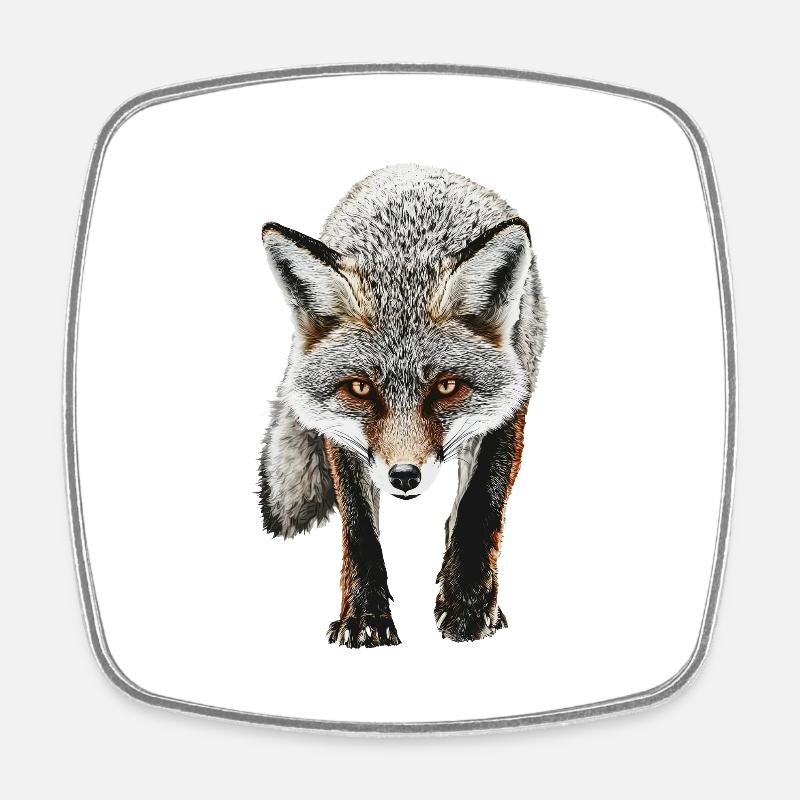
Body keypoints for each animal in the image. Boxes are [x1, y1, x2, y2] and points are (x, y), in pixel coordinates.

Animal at [259, 164, 546, 648]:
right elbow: (359, 529)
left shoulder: (510, 403)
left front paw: (468, 604)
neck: (405, 255)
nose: (405, 476)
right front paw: (363, 615)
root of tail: (413, 169)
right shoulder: (342, 434)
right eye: (360, 388)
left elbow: (480, 507)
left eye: (446, 386)